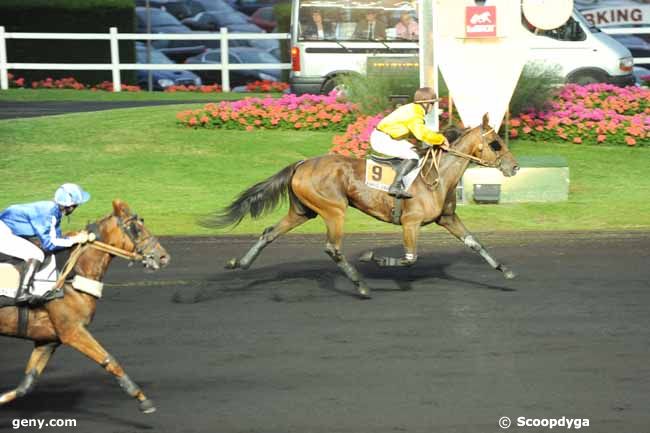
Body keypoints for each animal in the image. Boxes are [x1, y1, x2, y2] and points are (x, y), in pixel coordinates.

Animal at [0, 199, 170, 412]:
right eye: (136, 229)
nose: (163, 257)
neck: (72, 276)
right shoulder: (73, 331)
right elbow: (109, 360)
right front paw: (142, 399)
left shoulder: (48, 339)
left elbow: (27, 383)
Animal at [210, 113, 520, 298]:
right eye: (496, 143)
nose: (514, 167)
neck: (438, 176)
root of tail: (302, 163)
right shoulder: (410, 222)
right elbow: (410, 258)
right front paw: (374, 258)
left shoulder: (447, 218)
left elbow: (475, 243)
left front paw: (505, 270)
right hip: (334, 209)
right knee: (332, 248)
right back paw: (361, 286)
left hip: (303, 211)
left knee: (269, 233)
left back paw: (240, 262)